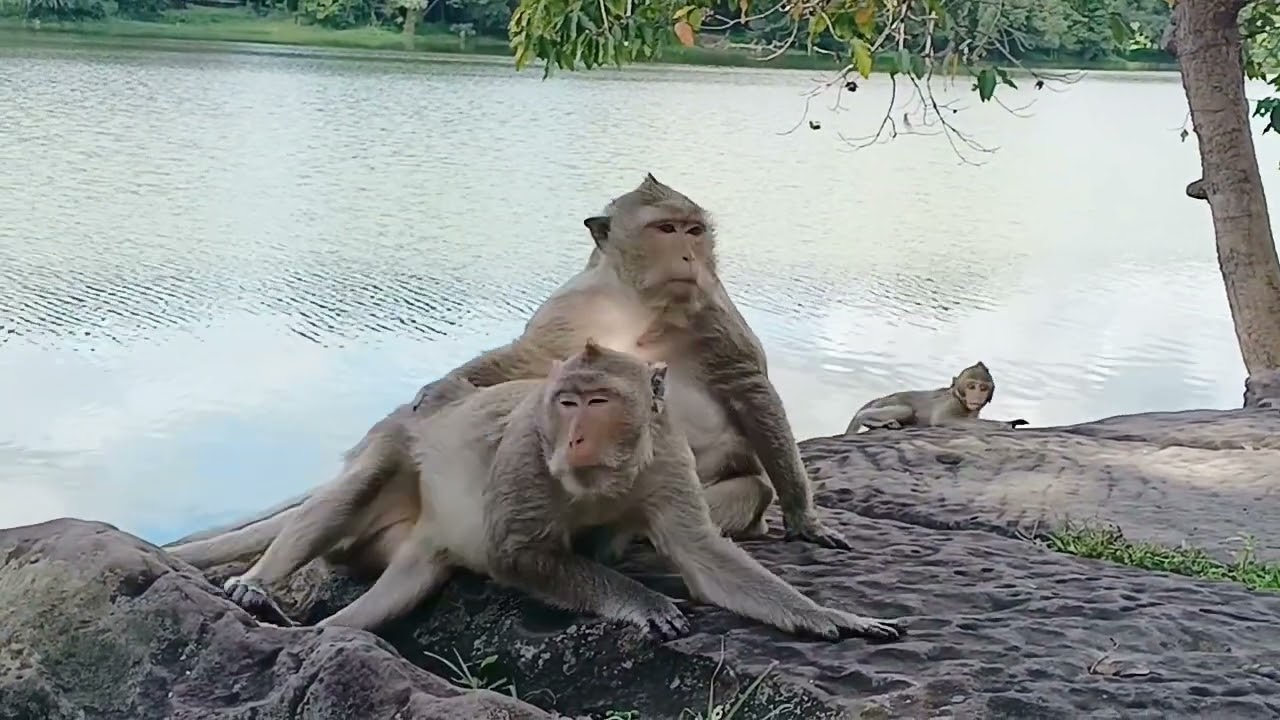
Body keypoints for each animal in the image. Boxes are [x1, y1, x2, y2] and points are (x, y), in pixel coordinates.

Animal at [167, 173, 852, 573]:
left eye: (693, 230)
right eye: (665, 229)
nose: (688, 253)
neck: (639, 302)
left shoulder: (710, 305)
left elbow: (749, 388)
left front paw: (804, 517)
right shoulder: (574, 306)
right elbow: (529, 362)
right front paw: (438, 391)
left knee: (746, 488)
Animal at [216, 341, 906, 643]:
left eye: (600, 403)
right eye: (566, 402)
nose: (573, 439)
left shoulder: (669, 455)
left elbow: (704, 558)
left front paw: (832, 618)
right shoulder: (527, 447)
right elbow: (515, 554)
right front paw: (643, 603)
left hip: (418, 544)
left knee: (393, 592)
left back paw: (316, 631)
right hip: (392, 444)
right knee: (353, 491)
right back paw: (256, 584)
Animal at [845, 361, 1029, 434]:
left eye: (983, 388)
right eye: (971, 386)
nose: (976, 396)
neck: (959, 397)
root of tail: (879, 398)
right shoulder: (951, 404)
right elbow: (943, 420)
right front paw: (1007, 424)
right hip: (886, 404)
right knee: (906, 410)